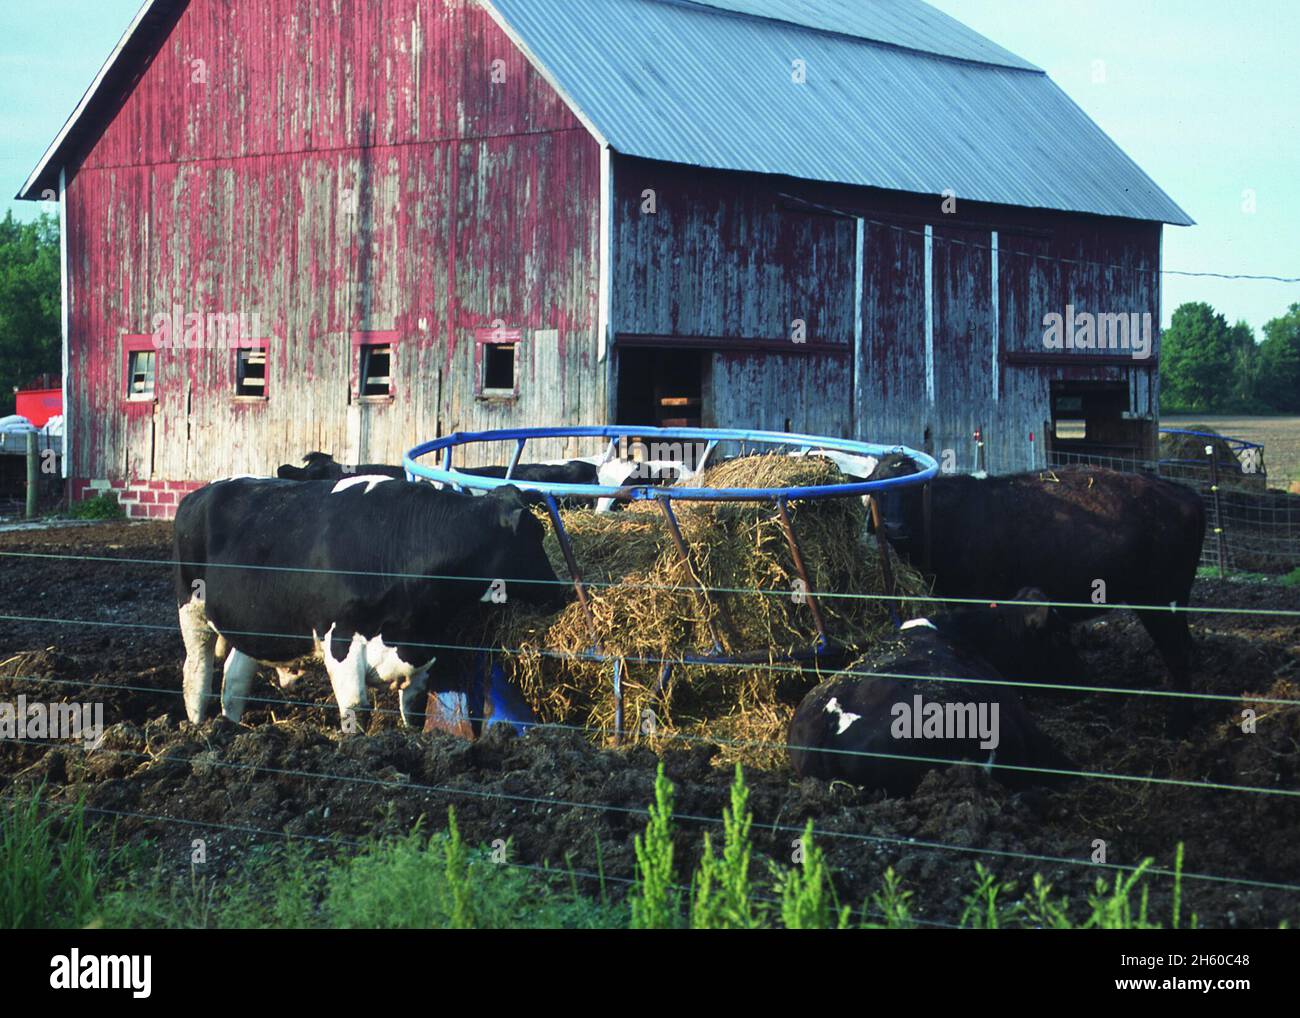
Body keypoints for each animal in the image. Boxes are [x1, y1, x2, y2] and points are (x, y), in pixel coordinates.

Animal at [172, 478, 564, 733]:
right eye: (535, 534)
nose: (560, 593)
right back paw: (197, 732)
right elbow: (356, 709)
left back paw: (231, 729)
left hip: (253, 620)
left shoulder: (422, 652)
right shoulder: (341, 640)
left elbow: (414, 713)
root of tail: (199, 493)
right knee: (197, 672)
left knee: (235, 679)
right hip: (191, 610)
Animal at [868, 455, 1201, 733]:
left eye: (909, 492)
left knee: (1180, 654)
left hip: (1160, 601)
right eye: (880, 492)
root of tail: (1180, 492)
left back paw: (1180, 724)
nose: (894, 527)